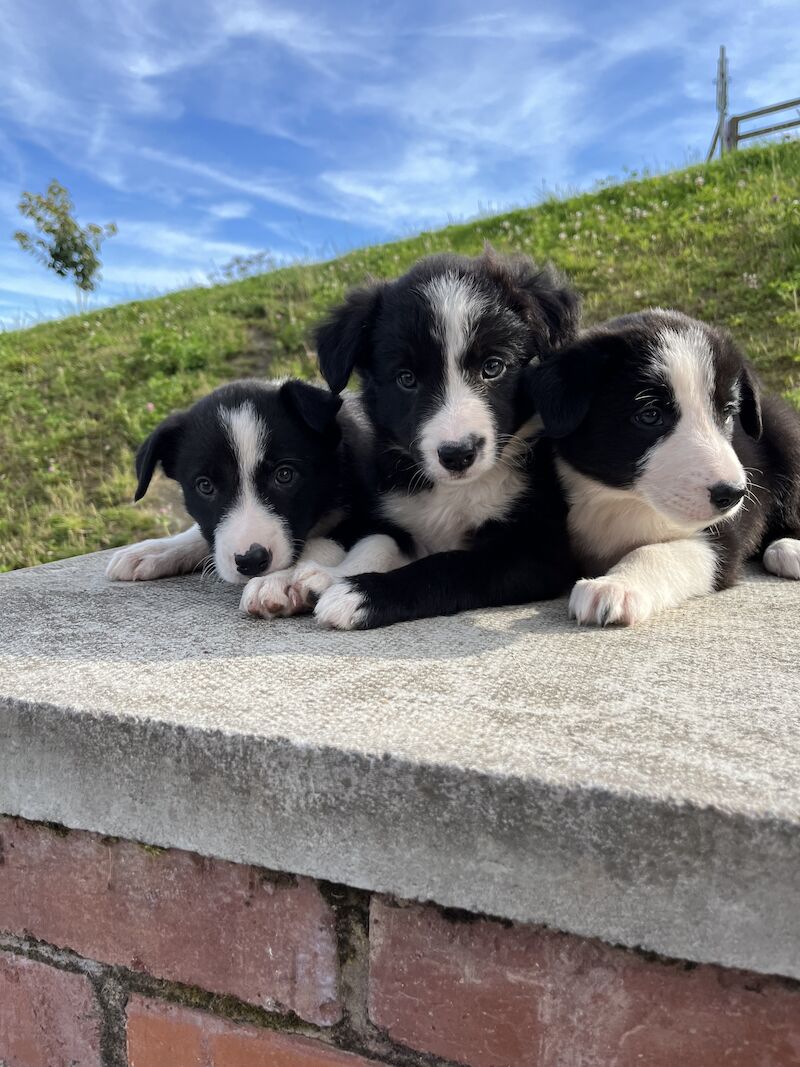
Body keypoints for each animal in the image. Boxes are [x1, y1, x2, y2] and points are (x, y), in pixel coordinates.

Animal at [529, 309, 800, 623]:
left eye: (727, 413)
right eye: (650, 415)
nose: (733, 494)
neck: (619, 498)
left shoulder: (722, 539)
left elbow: (656, 551)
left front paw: (614, 586)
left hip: (785, 432)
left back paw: (789, 548)